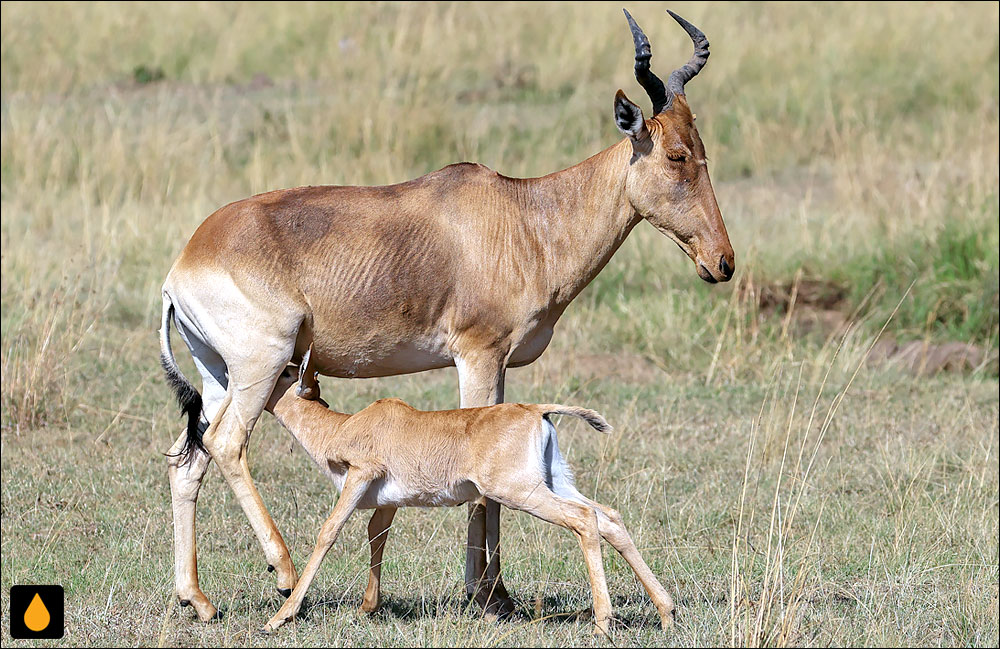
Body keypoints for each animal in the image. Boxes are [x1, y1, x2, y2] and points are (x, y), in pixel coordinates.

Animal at [258, 352, 676, 636]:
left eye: (286, 371)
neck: (345, 426)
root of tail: (537, 410)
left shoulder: (361, 477)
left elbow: (327, 534)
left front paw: (279, 617)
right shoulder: (388, 504)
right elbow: (377, 537)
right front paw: (366, 608)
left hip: (522, 493)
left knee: (584, 520)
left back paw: (603, 623)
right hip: (556, 483)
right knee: (609, 517)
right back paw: (666, 612)